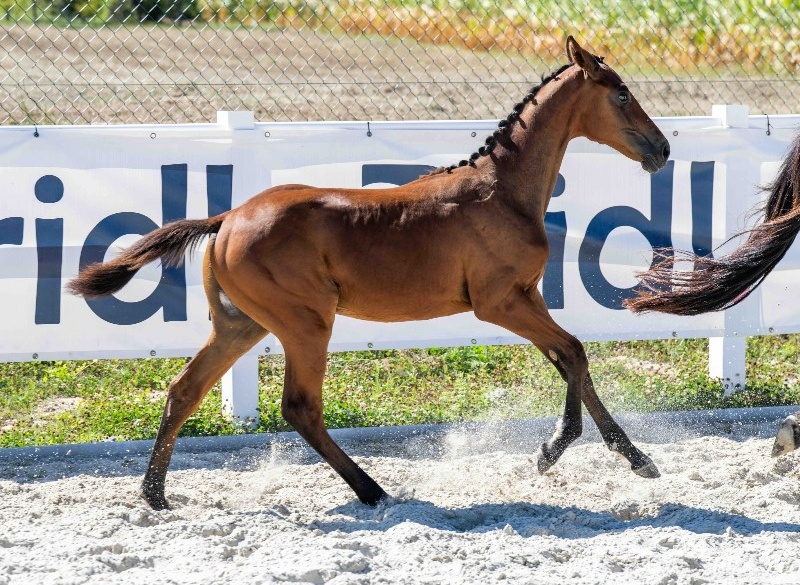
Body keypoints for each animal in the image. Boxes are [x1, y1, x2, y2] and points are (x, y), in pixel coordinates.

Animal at [68, 36, 670, 510]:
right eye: (621, 93)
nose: (662, 149)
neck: (501, 191)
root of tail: (226, 220)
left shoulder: (528, 296)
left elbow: (571, 360)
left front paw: (620, 457)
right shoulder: (499, 302)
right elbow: (573, 352)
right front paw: (566, 451)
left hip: (242, 324)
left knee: (184, 392)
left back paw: (154, 496)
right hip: (305, 323)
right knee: (300, 407)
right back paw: (372, 490)